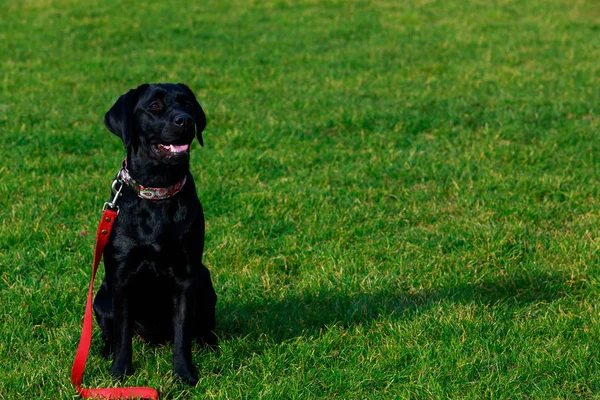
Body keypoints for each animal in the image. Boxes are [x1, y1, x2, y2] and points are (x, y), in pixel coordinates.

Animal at [91, 83, 216, 384]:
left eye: (187, 104)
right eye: (155, 106)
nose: (185, 120)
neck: (158, 190)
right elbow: (123, 335)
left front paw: (184, 375)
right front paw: (119, 373)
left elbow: (182, 334)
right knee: (111, 333)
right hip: (101, 297)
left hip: (205, 281)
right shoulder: (121, 277)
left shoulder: (186, 276)